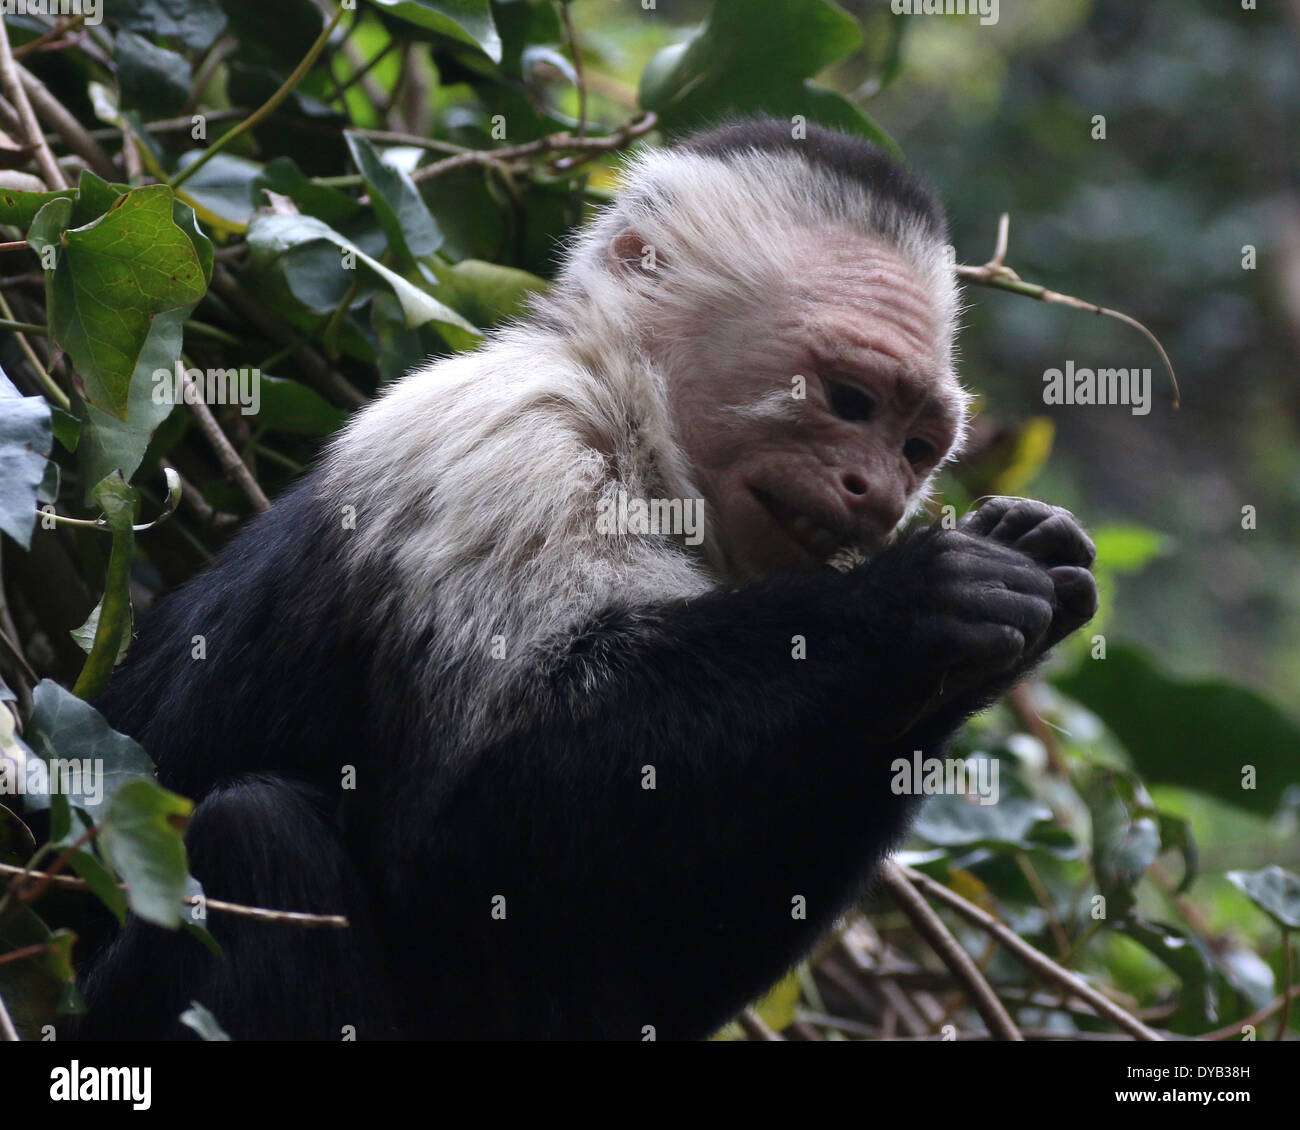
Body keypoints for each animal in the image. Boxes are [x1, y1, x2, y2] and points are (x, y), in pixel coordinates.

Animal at [78, 117, 1097, 1040]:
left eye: (917, 445)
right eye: (849, 402)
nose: (880, 492)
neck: (635, 431)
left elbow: (635, 974)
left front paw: (1018, 584)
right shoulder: (515, 441)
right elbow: (455, 840)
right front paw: (914, 601)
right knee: (253, 836)